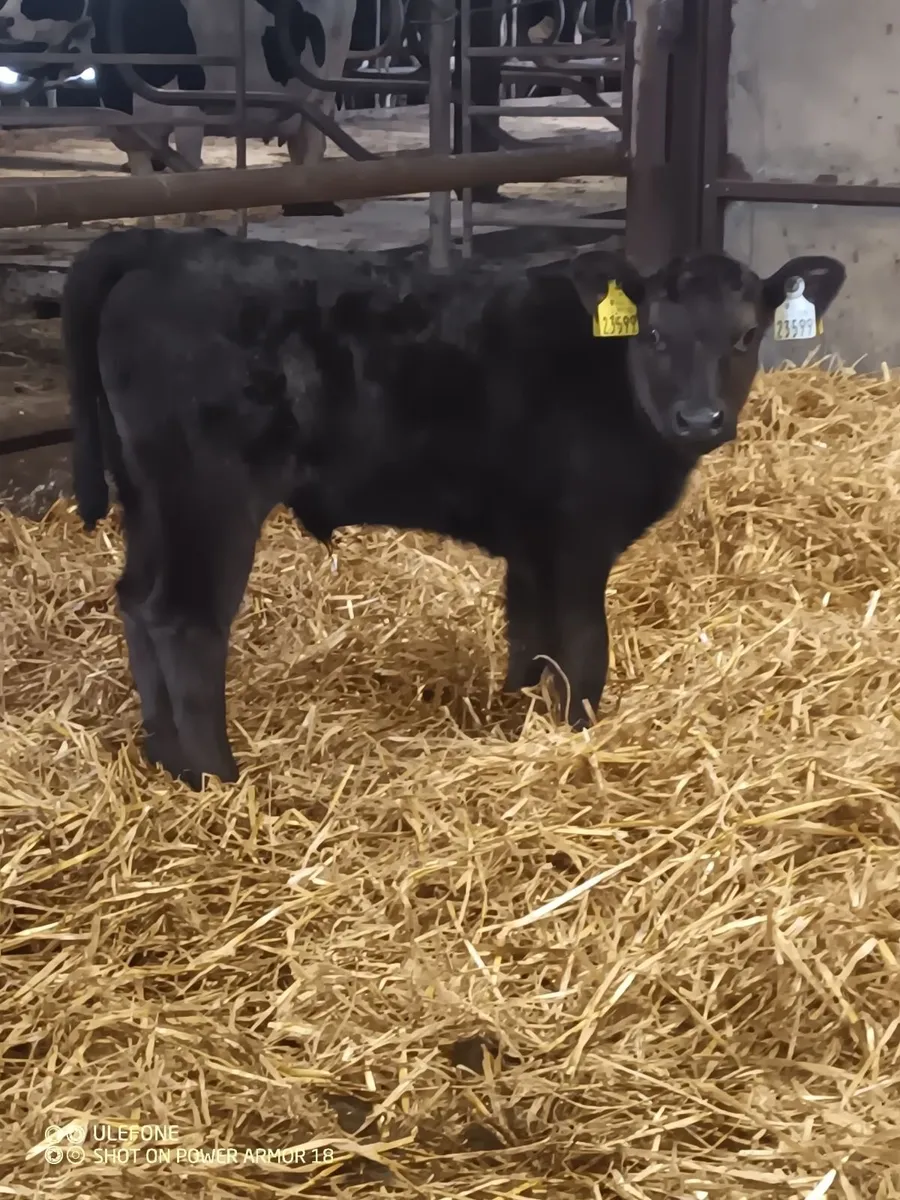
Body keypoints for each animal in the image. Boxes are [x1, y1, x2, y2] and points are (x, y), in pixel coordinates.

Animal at [0, 0, 358, 216]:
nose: (3, 18)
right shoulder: (130, 127)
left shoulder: (189, 118)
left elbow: (188, 181)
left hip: (322, 90)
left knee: (314, 141)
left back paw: (312, 206)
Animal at [61, 226, 846, 790]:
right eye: (654, 334)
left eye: (747, 335)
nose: (700, 418)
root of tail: (160, 244)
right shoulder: (578, 536)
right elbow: (583, 650)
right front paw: (578, 737)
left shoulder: (532, 540)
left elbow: (529, 638)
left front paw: (517, 718)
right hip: (209, 494)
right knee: (183, 620)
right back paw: (216, 778)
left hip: (150, 495)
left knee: (137, 602)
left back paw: (161, 756)